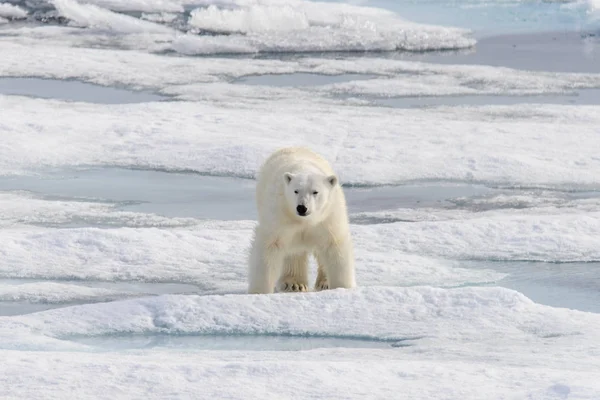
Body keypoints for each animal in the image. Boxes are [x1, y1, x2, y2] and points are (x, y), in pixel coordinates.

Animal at [248, 147, 356, 294]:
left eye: (315, 192)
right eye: (296, 191)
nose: (302, 207)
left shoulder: (328, 217)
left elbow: (333, 245)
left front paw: (341, 287)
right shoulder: (279, 214)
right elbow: (270, 245)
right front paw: (259, 291)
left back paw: (324, 283)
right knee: (294, 251)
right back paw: (294, 284)